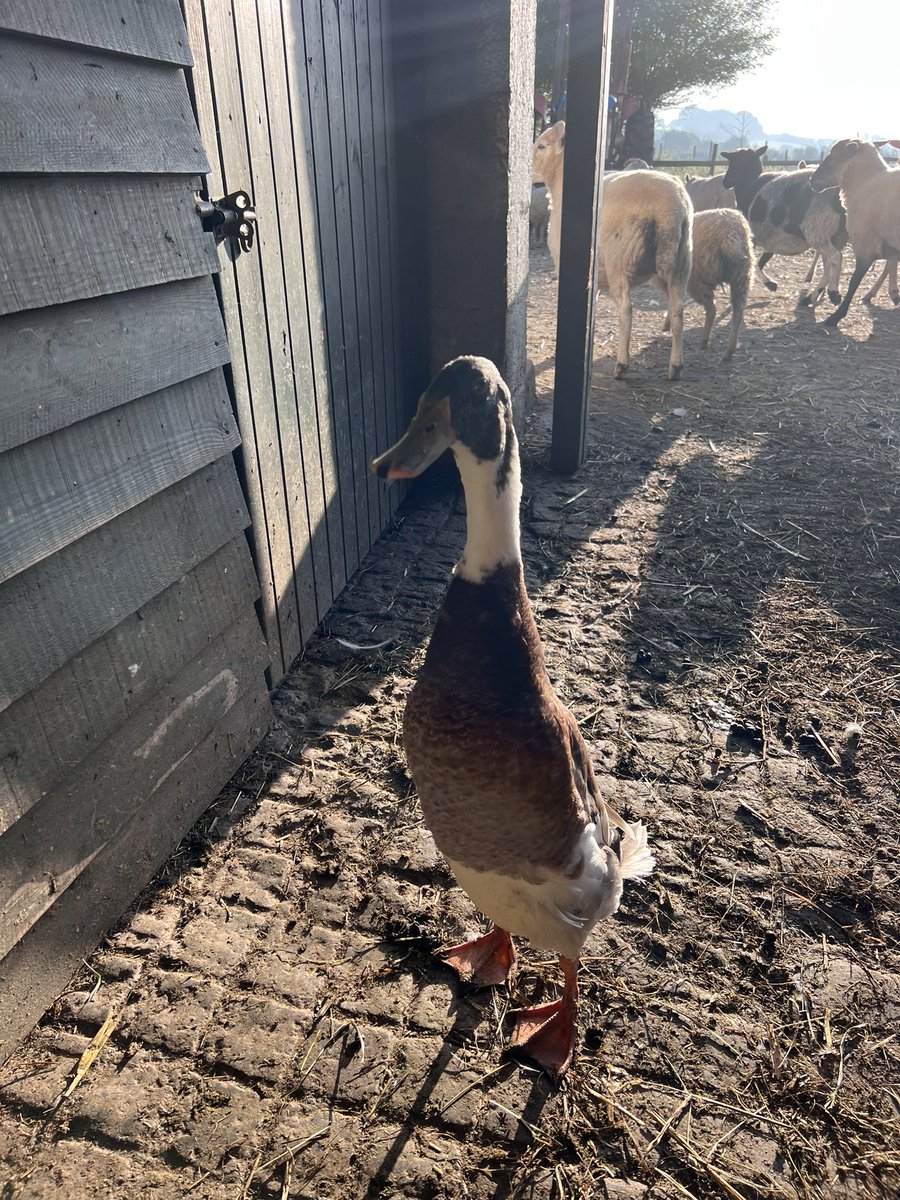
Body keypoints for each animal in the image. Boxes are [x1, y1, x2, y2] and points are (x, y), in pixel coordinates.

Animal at [533, 120, 693, 381]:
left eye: (542, 146)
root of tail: (671, 207)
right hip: (680, 261)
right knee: (678, 309)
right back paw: (675, 367)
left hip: (620, 259)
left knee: (627, 310)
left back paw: (621, 365)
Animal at [662, 208, 753, 362]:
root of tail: (730, 237)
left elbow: (671, 302)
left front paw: (667, 323)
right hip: (742, 277)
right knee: (738, 310)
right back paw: (729, 351)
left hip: (698, 280)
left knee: (712, 309)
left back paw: (704, 341)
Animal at [721, 145, 847, 306]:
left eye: (732, 162)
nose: (725, 181)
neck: (750, 184)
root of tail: (838, 195)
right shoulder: (770, 238)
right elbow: (760, 260)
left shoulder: (753, 235)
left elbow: (753, 261)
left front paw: (770, 283)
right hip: (834, 236)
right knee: (828, 266)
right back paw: (812, 296)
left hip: (817, 231)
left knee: (836, 257)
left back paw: (834, 292)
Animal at [811, 139, 900, 325]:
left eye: (834, 154)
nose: (811, 180)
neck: (864, 182)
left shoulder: (865, 245)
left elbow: (853, 281)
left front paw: (836, 316)